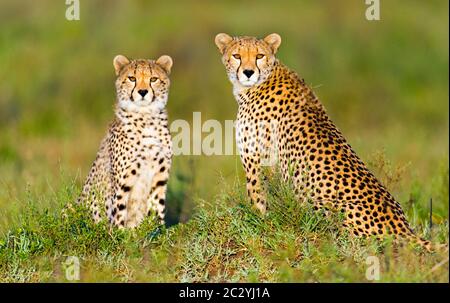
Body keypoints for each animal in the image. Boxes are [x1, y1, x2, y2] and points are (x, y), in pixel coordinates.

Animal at [76, 54, 173, 229]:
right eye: (132, 78)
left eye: (153, 79)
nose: (143, 92)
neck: (146, 117)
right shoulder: (123, 182)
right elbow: (119, 210)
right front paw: (120, 234)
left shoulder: (160, 177)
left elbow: (157, 208)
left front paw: (157, 231)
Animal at [214, 32, 436, 252]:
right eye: (237, 56)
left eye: (259, 55)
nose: (248, 72)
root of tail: (404, 229)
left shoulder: (256, 160)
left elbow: (257, 198)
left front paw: (258, 223)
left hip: (318, 205)